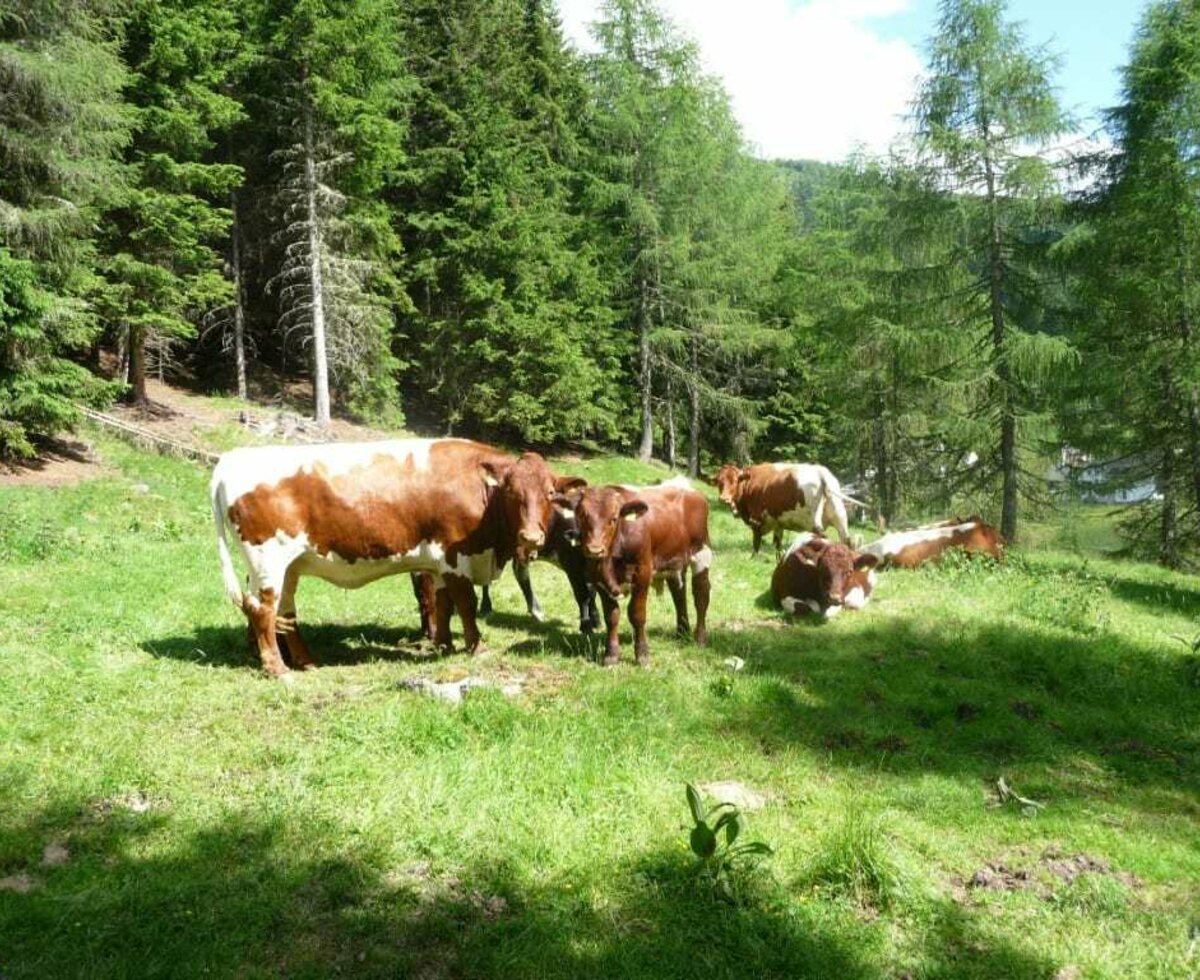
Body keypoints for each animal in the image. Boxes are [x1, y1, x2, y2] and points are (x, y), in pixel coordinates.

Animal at [212, 439, 585, 676]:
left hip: (289, 567)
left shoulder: (439, 562)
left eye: (549, 492)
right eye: (511, 492)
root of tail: (230, 460)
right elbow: (465, 604)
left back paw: (305, 662)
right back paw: (278, 669)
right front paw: (475, 646)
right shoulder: (456, 557)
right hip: (268, 563)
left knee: (285, 614)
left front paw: (444, 644)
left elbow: (442, 603)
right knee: (262, 612)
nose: (531, 537)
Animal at [710, 460, 854, 554]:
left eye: (734, 481)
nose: (724, 499)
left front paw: (753, 558)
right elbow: (777, 544)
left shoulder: (756, 519)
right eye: (719, 482)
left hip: (814, 523)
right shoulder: (778, 523)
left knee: (824, 538)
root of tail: (820, 472)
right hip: (839, 516)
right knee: (847, 540)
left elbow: (756, 542)